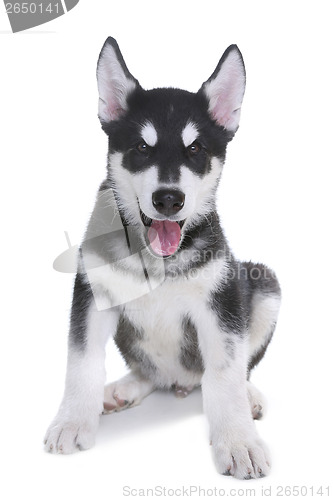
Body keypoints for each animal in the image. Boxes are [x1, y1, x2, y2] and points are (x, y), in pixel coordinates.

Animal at [44, 37, 280, 478]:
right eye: (141, 147)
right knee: (150, 373)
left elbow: (226, 372)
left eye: (195, 149)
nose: (168, 199)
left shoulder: (220, 304)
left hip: (265, 285)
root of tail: (181, 380)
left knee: (233, 370)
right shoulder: (92, 295)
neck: (157, 258)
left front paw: (238, 441)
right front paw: (71, 421)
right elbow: (81, 362)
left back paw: (248, 394)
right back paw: (126, 388)